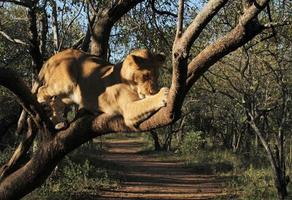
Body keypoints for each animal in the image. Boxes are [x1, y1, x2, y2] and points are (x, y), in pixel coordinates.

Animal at [36, 49, 169, 129]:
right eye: (146, 76)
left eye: (157, 76)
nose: (153, 91)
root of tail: (53, 57)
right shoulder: (128, 110)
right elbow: (147, 102)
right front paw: (163, 94)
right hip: (66, 83)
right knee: (41, 90)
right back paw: (42, 102)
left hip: (69, 96)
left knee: (56, 102)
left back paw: (59, 122)